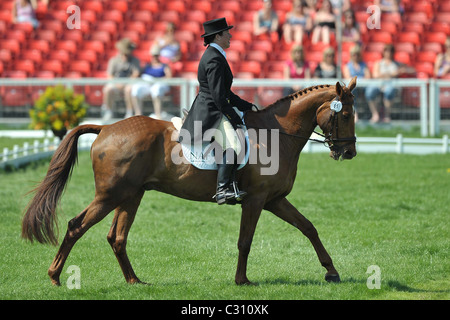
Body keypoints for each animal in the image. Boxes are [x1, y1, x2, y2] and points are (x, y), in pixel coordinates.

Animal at [21, 76, 358, 286]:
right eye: (345, 116)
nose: (350, 152)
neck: (275, 135)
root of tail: (105, 128)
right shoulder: (255, 200)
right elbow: (245, 241)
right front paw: (242, 280)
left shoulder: (274, 199)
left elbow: (309, 228)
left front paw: (331, 272)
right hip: (109, 196)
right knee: (76, 226)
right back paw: (55, 276)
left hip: (131, 196)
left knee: (116, 237)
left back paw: (134, 281)